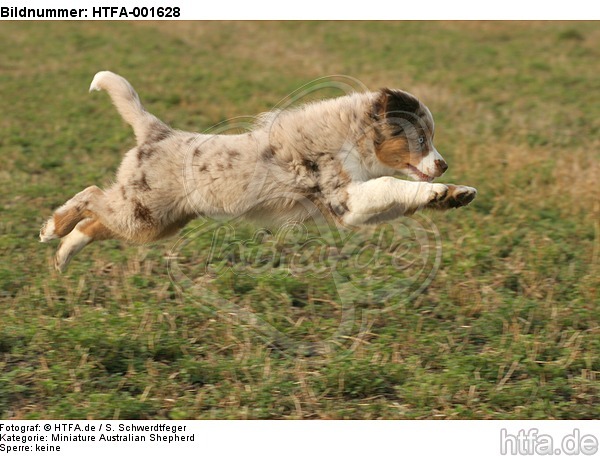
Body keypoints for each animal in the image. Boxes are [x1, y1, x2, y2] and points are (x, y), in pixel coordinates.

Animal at [39, 71, 476, 270]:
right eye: (421, 138)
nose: (443, 164)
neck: (352, 136)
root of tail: (157, 132)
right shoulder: (343, 198)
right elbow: (390, 182)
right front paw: (438, 192)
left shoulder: (356, 204)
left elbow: (394, 192)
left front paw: (456, 193)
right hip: (141, 211)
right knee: (91, 196)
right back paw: (51, 229)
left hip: (155, 222)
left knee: (94, 223)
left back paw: (62, 256)